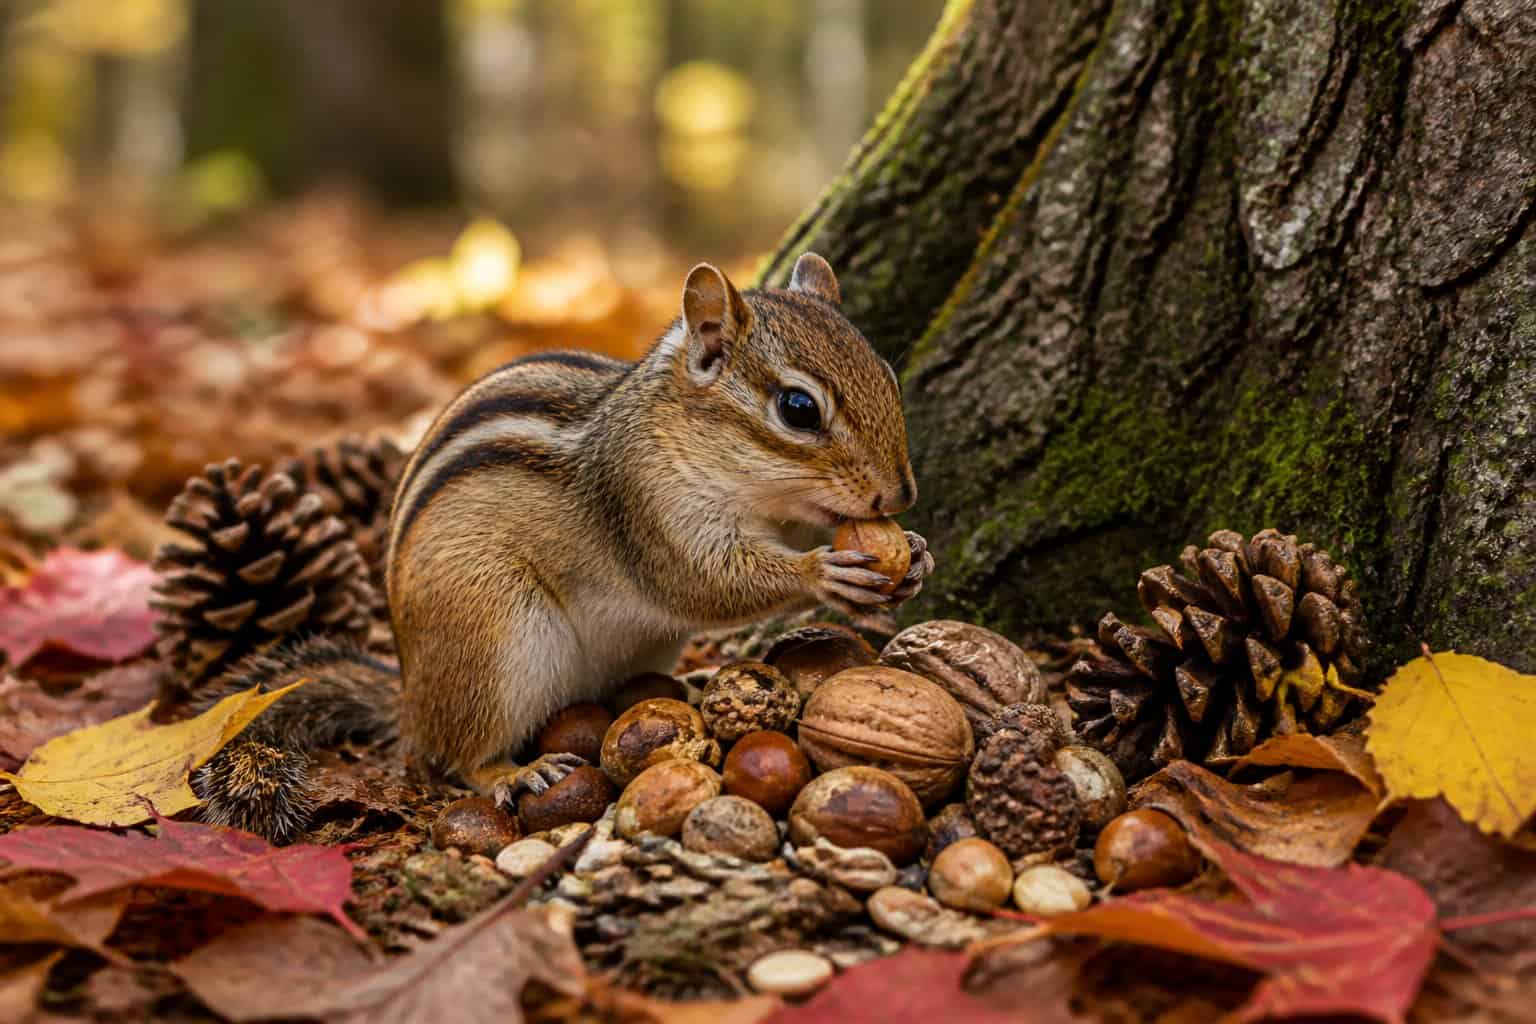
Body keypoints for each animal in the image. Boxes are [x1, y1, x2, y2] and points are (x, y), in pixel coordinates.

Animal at [194, 253, 935, 842]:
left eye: (890, 377)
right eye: (798, 409)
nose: (900, 496)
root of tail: (409, 696)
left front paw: (915, 555)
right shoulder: (648, 508)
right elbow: (705, 584)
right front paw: (823, 573)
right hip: (494, 632)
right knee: (458, 753)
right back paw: (518, 771)